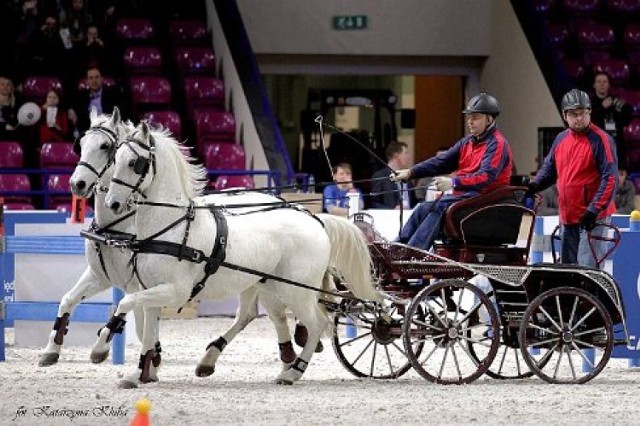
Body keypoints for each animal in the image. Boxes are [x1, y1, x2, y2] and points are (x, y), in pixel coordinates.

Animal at [101, 120, 380, 386]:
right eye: (114, 159)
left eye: (135, 163)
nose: (112, 204)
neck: (172, 226)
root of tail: (316, 221)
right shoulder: (151, 291)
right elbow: (147, 332)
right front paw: (139, 374)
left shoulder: (175, 291)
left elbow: (124, 303)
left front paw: (104, 342)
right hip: (266, 283)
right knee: (260, 316)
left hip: (295, 291)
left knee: (317, 324)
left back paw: (293, 372)